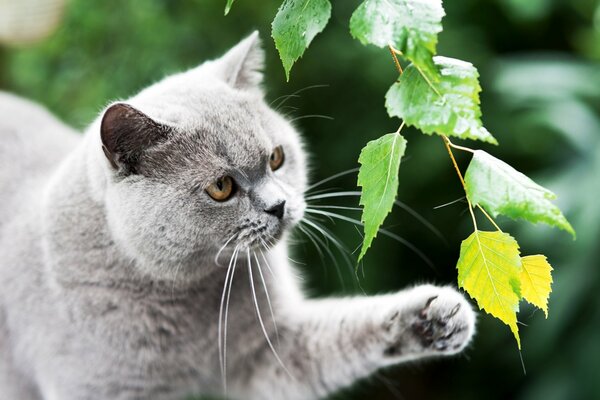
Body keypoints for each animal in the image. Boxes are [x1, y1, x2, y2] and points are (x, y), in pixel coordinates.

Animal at [0, 32, 476, 400]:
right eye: (221, 187)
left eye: (277, 158)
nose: (278, 205)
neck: (193, 299)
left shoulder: (266, 353)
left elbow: (340, 334)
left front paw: (437, 318)